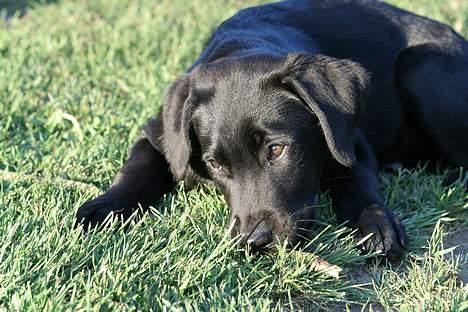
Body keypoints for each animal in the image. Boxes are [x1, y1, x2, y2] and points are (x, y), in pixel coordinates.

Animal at [75, 0, 466, 258]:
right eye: (216, 165)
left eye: (276, 150)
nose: (255, 241)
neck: (247, 44)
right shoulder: (160, 134)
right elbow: (138, 168)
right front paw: (103, 207)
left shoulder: (350, 140)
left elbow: (355, 180)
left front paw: (374, 222)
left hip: (420, 64)